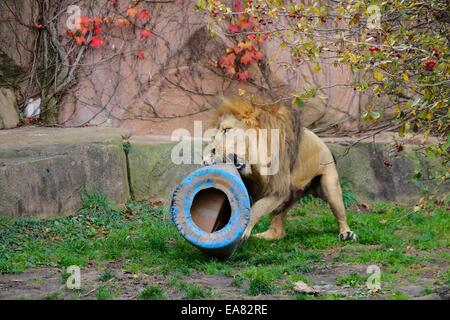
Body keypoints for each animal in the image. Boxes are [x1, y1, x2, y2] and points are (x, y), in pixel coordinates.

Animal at [202, 98, 356, 242]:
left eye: (227, 130)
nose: (212, 151)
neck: (255, 166)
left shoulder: (279, 189)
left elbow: (256, 208)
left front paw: (243, 230)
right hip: (290, 197)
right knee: (278, 231)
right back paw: (263, 237)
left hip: (328, 187)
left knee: (340, 214)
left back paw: (346, 233)